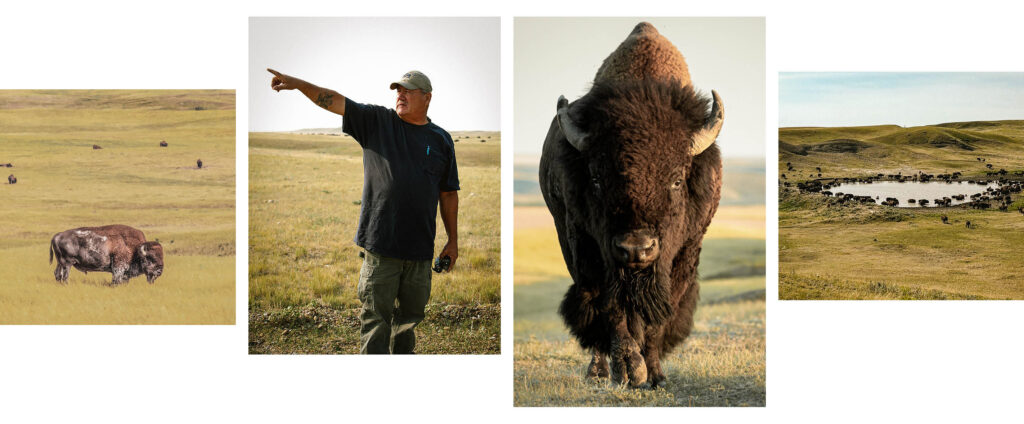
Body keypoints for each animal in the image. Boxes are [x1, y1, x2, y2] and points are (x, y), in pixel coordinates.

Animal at [539, 22, 723, 389]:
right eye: (596, 179)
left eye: (677, 179)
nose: (637, 249)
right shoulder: (589, 248)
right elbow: (609, 307)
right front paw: (628, 368)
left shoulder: (684, 252)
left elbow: (659, 316)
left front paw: (654, 373)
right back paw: (598, 370)